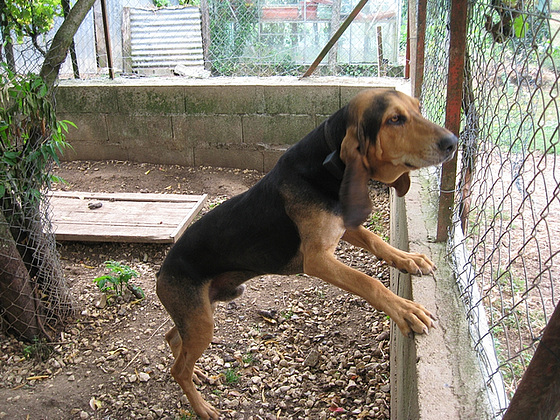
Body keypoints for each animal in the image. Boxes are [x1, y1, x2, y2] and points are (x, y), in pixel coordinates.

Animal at [155, 88, 458, 416]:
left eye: (417, 108)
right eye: (395, 119)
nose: (453, 142)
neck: (328, 164)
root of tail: (162, 271)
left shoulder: (343, 225)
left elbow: (378, 242)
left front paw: (409, 259)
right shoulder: (318, 259)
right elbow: (369, 283)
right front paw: (405, 310)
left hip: (199, 312)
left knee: (173, 339)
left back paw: (196, 372)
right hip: (202, 322)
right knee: (177, 369)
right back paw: (202, 407)